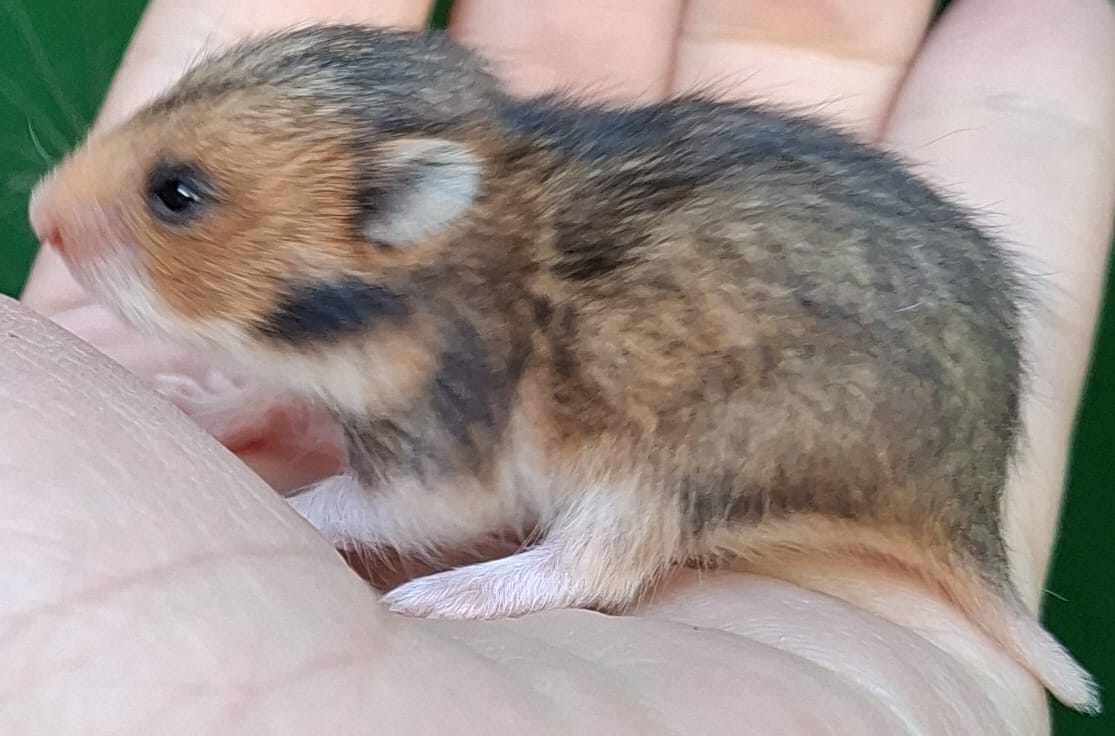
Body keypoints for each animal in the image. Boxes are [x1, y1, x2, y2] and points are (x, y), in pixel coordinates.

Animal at [27, 24, 1098, 712]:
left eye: (177, 194)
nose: (37, 209)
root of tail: (965, 513)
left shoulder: (446, 459)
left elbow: (360, 499)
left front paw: (289, 507)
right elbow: (269, 396)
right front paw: (199, 401)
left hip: (682, 464)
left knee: (600, 561)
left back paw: (448, 594)